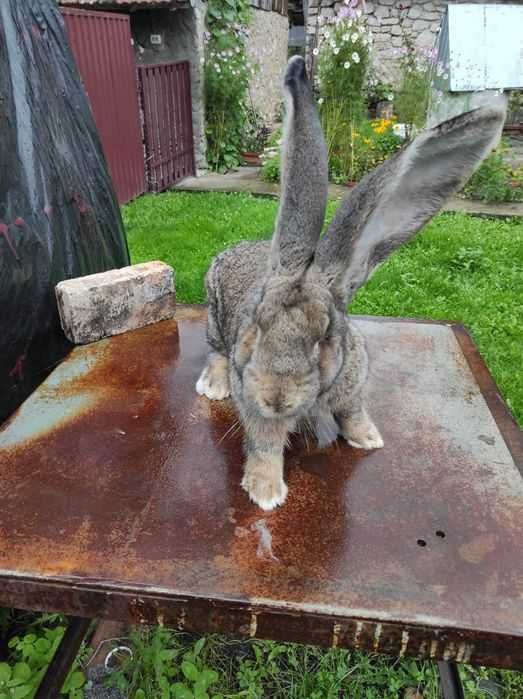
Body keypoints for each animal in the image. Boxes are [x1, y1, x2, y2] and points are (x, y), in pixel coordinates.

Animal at [196, 56, 508, 508]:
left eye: (325, 338)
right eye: (253, 329)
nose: (276, 397)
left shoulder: (354, 383)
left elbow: (353, 412)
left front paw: (368, 438)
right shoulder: (251, 401)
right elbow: (265, 444)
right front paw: (266, 491)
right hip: (214, 319)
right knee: (216, 353)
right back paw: (213, 384)